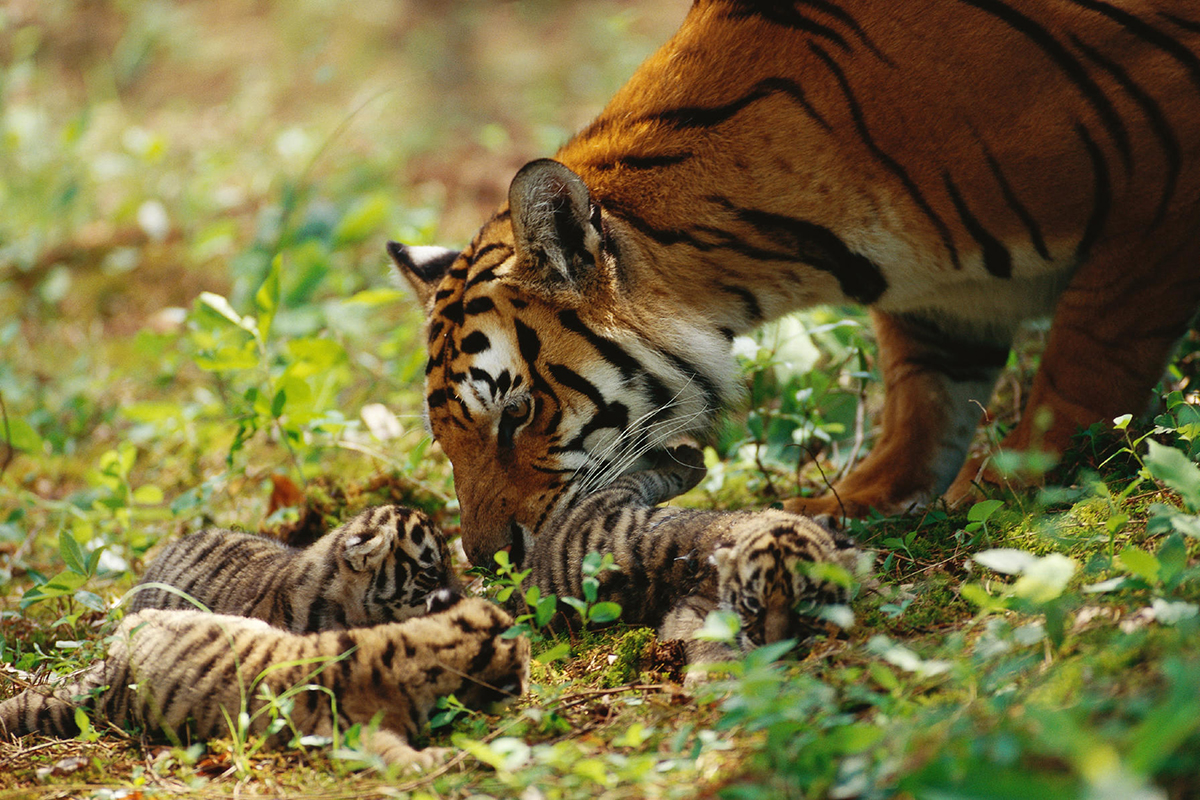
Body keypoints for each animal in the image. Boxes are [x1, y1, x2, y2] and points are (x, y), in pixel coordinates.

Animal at [387, 0, 1200, 565]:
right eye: (446, 439)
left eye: (517, 414)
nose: (489, 561)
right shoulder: (942, 305)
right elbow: (924, 402)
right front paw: (852, 500)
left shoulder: (1159, 196)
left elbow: (1083, 366)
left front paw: (1007, 487)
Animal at [526, 445, 863, 667]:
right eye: (752, 604)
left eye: (805, 603)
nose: (774, 648)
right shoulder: (693, 607)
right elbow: (707, 641)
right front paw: (715, 680)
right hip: (614, 499)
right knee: (641, 478)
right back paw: (689, 458)